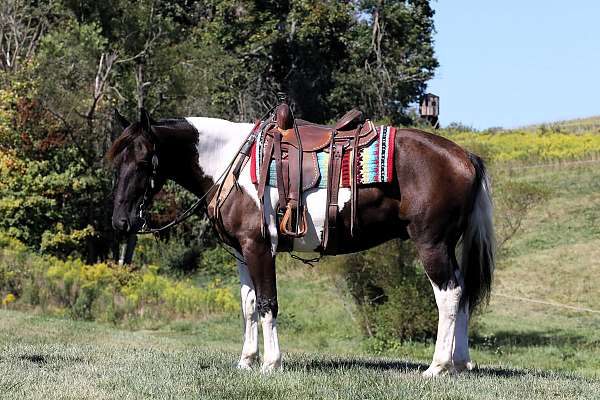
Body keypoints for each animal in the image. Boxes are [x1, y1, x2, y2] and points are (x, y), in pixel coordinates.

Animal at [110, 108, 494, 376]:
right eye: (117, 161)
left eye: (143, 161)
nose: (121, 221)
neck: (232, 163)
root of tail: (465, 157)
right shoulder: (241, 253)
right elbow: (249, 305)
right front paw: (246, 361)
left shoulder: (259, 248)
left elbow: (268, 303)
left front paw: (270, 363)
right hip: (446, 247)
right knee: (462, 293)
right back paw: (460, 363)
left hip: (432, 245)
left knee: (448, 295)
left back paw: (438, 367)